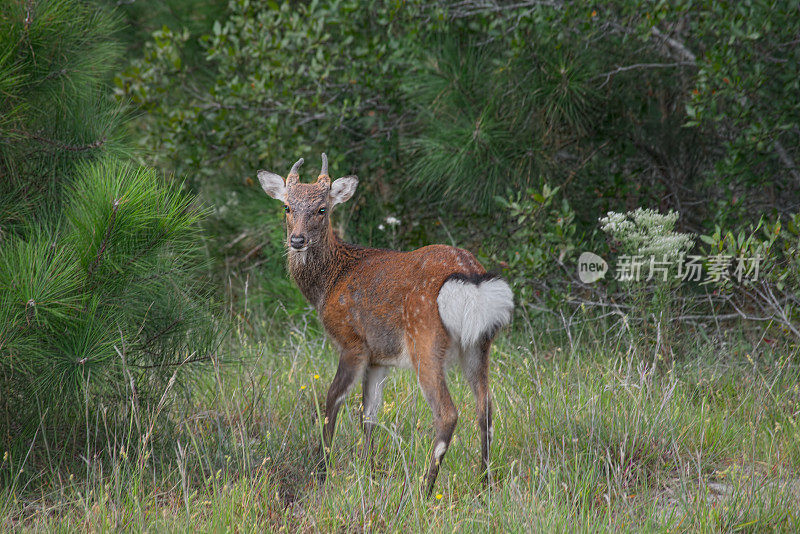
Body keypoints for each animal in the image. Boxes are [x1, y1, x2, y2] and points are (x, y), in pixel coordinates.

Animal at [260, 155, 516, 498]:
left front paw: (322, 473)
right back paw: (485, 482)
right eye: (287, 206)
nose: (297, 240)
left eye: (322, 209)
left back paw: (424, 489)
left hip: (425, 340)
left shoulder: (352, 341)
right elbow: (369, 414)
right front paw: (367, 472)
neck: (330, 283)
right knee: (485, 408)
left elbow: (331, 401)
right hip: (479, 345)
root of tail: (471, 278)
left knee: (447, 413)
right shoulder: (378, 357)